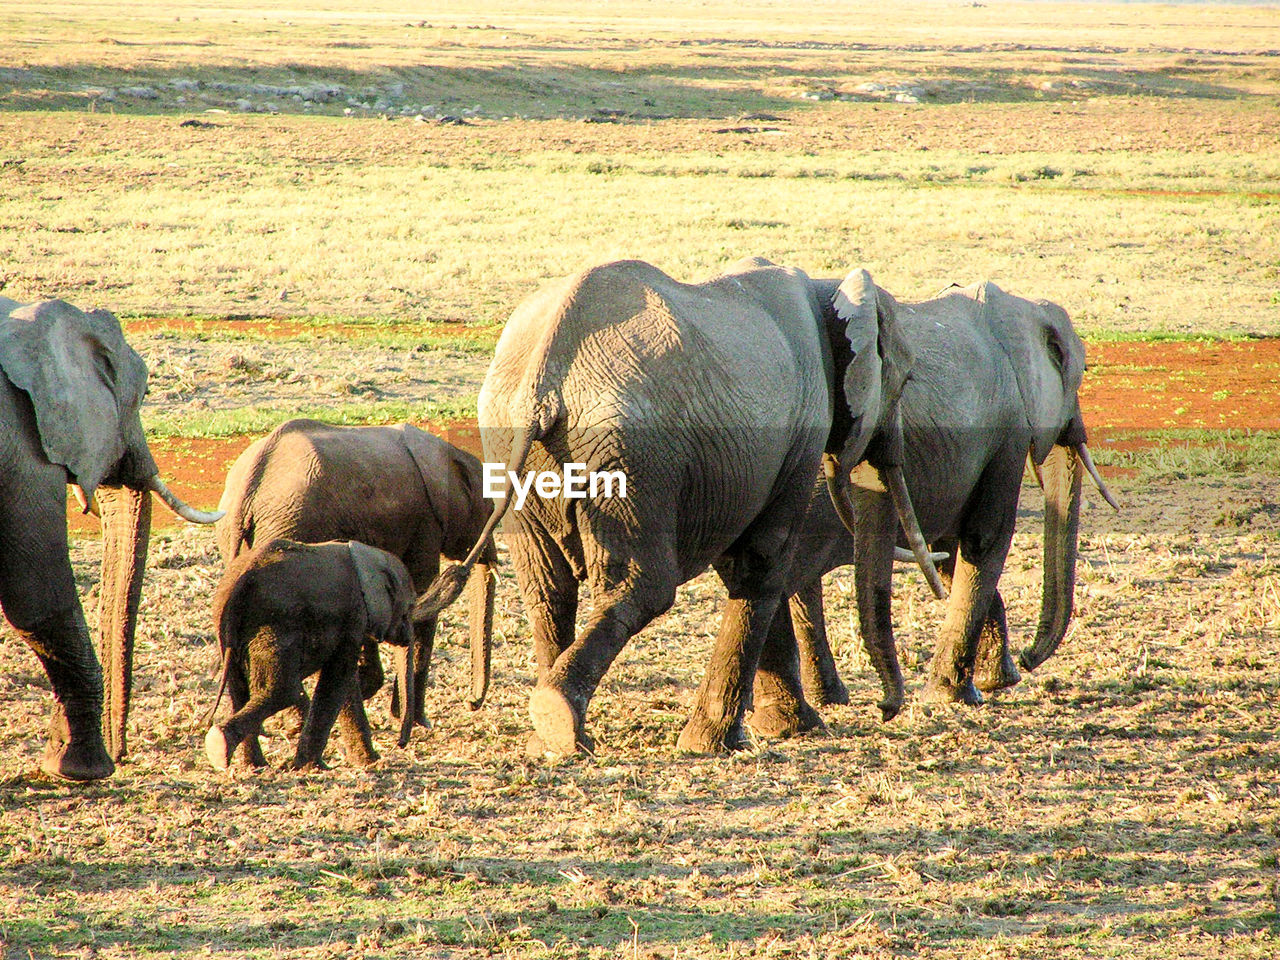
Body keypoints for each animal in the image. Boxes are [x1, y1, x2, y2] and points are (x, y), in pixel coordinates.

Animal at [0, 299, 220, 783]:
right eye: (142, 395)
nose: (125, 755)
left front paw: (67, 765)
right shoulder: (24, 448)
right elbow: (37, 597)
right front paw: (84, 770)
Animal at [202, 542, 417, 773]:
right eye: (410, 607)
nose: (401, 743)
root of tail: (239, 585)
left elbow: (344, 683)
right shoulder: (354, 617)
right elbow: (338, 679)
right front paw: (313, 766)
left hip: (229, 630)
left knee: (240, 690)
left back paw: (251, 763)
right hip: (277, 625)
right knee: (283, 690)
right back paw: (221, 747)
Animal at [215, 419, 494, 721]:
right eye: (490, 506)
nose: (471, 703)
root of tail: (248, 485)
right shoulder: (426, 522)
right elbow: (420, 591)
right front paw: (416, 719)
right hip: (295, 526)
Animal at [419, 257, 942, 757]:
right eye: (905, 380)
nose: (887, 710)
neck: (827, 285)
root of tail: (543, 376)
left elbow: (743, 564)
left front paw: (783, 729)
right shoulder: (800, 433)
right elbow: (763, 561)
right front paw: (728, 742)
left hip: (512, 444)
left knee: (547, 590)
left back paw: (551, 738)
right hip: (631, 452)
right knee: (642, 588)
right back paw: (559, 719)